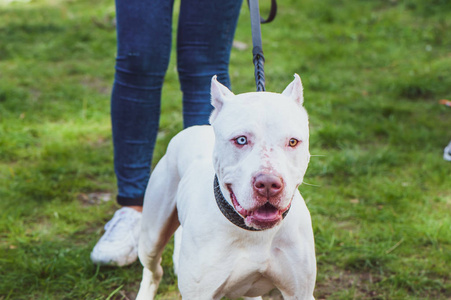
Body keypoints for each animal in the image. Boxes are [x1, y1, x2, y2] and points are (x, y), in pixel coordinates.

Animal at [136, 74, 316, 298]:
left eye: (292, 142)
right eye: (241, 140)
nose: (268, 183)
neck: (254, 235)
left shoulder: (301, 292)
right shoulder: (199, 294)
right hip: (151, 237)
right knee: (153, 269)